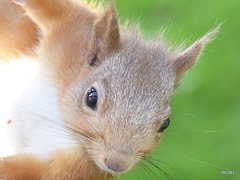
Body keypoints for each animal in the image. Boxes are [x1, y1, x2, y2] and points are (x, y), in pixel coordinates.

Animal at [0, 0, 219, 179]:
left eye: (165, 124)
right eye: (91, 97)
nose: (117, 163)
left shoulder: (69, 168)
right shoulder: (72, 32)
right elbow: (53, 8)